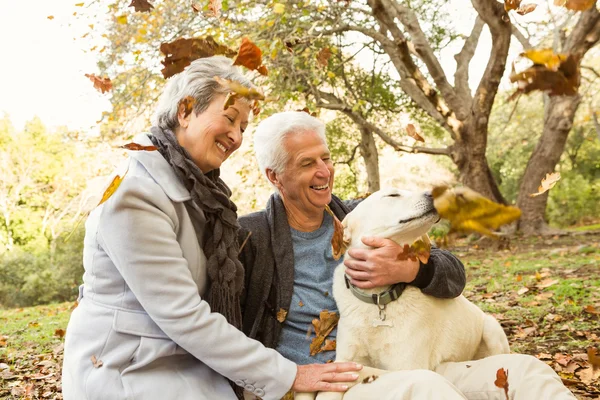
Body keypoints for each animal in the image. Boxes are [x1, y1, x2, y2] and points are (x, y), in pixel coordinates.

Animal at [298, 189, 508, 400]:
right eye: (393, 195)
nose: (433, 193)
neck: (376, 300)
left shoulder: (406, 366)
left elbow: (355, 371)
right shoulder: (347, 354)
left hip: (491, 329)